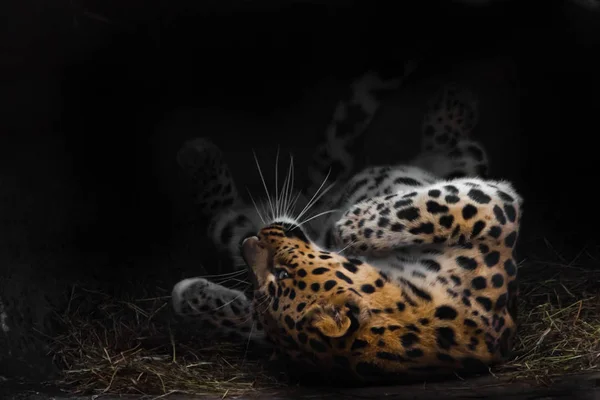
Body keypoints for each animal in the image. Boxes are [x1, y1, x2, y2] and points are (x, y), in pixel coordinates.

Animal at [171, 63, 524, 384]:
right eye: (262, 286)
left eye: (281, 273)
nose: (250, 243)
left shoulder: (494, 209)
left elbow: (428, 204)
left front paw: (353, 223)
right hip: (244, 222)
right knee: (222, 217)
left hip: (465, 161)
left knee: (455, 149)